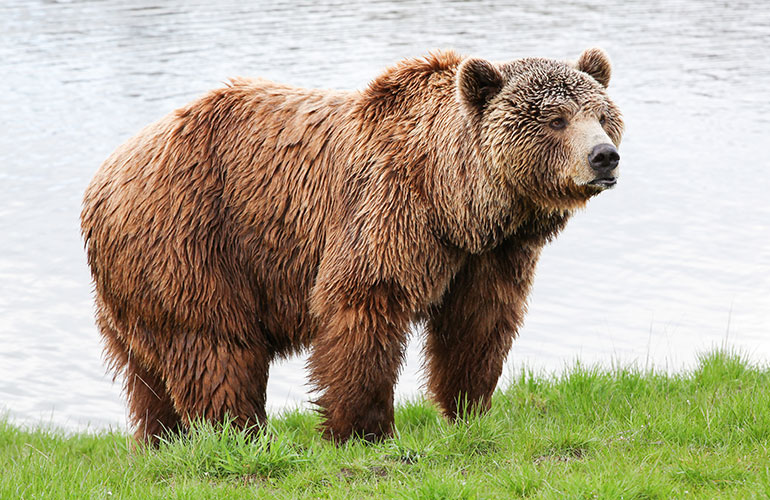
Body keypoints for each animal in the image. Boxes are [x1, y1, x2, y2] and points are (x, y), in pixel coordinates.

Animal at [81, 48, 623, 444]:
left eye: (601, 114)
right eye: (555, 119)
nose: (605, 156)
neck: (455, 199)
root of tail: (102, 179)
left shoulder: (489, 255)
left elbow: (478, 324)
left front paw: (469, 409)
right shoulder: (386, 210)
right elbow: (364, 307)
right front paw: (363, 430)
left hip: (135, 284)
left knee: (148, 376)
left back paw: (162, 440)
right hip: (189, 241)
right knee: (215, 346)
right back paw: (240, 433)